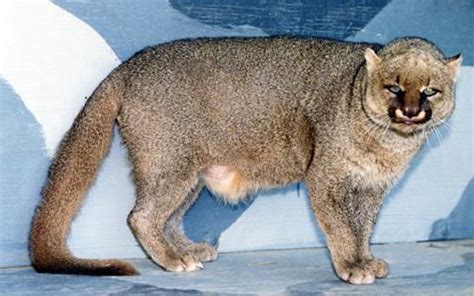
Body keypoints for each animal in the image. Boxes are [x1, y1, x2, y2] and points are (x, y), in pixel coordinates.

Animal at [28, 36, 460, 284]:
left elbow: (363, 228)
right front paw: (352, 267)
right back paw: (173, 261)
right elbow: (341, 228)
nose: (410, 111)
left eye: (430, 91)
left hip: (189, 174)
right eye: (394, 87)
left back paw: (188, 250)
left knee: (167, 217)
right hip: (171, 164)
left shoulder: (370, 190)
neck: (388, 144)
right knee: (141, 216)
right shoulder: (327, 180)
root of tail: (127, 66)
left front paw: (366, 258)